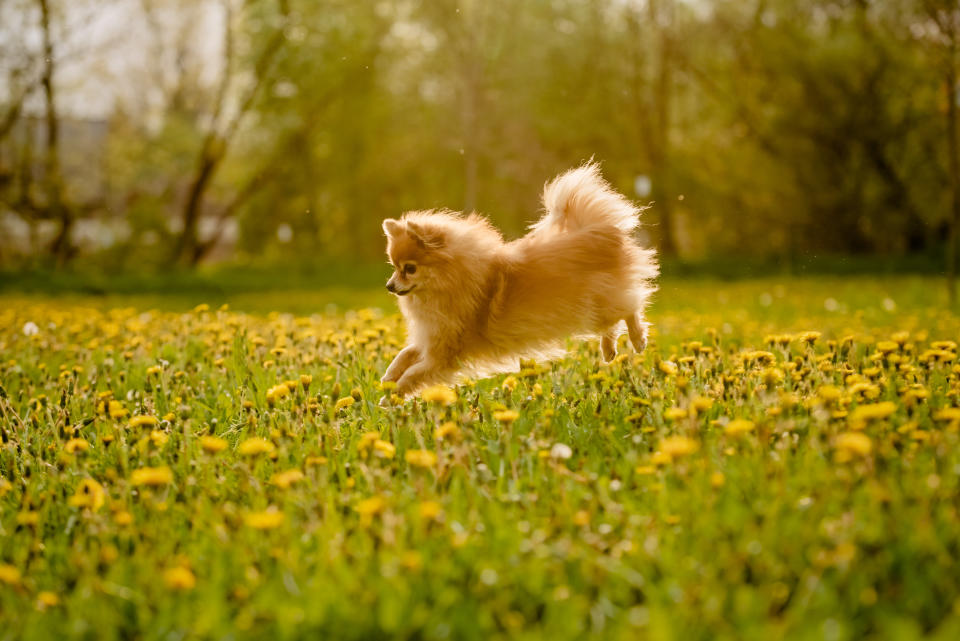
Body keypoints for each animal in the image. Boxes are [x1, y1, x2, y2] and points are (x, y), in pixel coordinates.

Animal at [378, 161, 656, 396]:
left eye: (409, 269)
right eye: (394, 267)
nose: (389, 286)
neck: (451, 279)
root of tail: (598, 232)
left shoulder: (443, 353)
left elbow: (415, 373)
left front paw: (392, 395)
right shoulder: (431, 338)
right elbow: (404, 355)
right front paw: (388, 380)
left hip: (595, 303)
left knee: (631, 307)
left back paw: (638, 339)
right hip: (593, 308)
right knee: (614, 320)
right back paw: (608, 350)